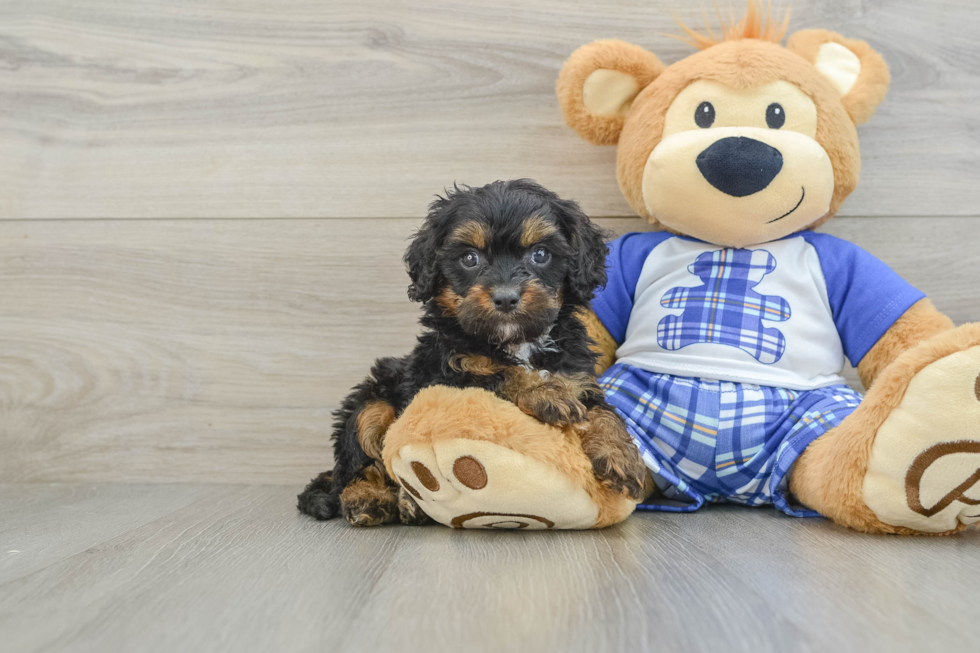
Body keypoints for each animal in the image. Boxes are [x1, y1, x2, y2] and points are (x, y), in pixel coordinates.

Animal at [302, 178, 648, 524]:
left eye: (540, 254)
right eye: (470, 258)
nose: (506, 298)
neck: (515, 341)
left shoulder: (578, 375)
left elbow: (603, 411)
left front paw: (622, 455)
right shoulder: (443, 377)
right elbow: (500, 375)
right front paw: (543, 392)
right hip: (371, 402)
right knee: (357, 464)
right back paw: (371, 498)